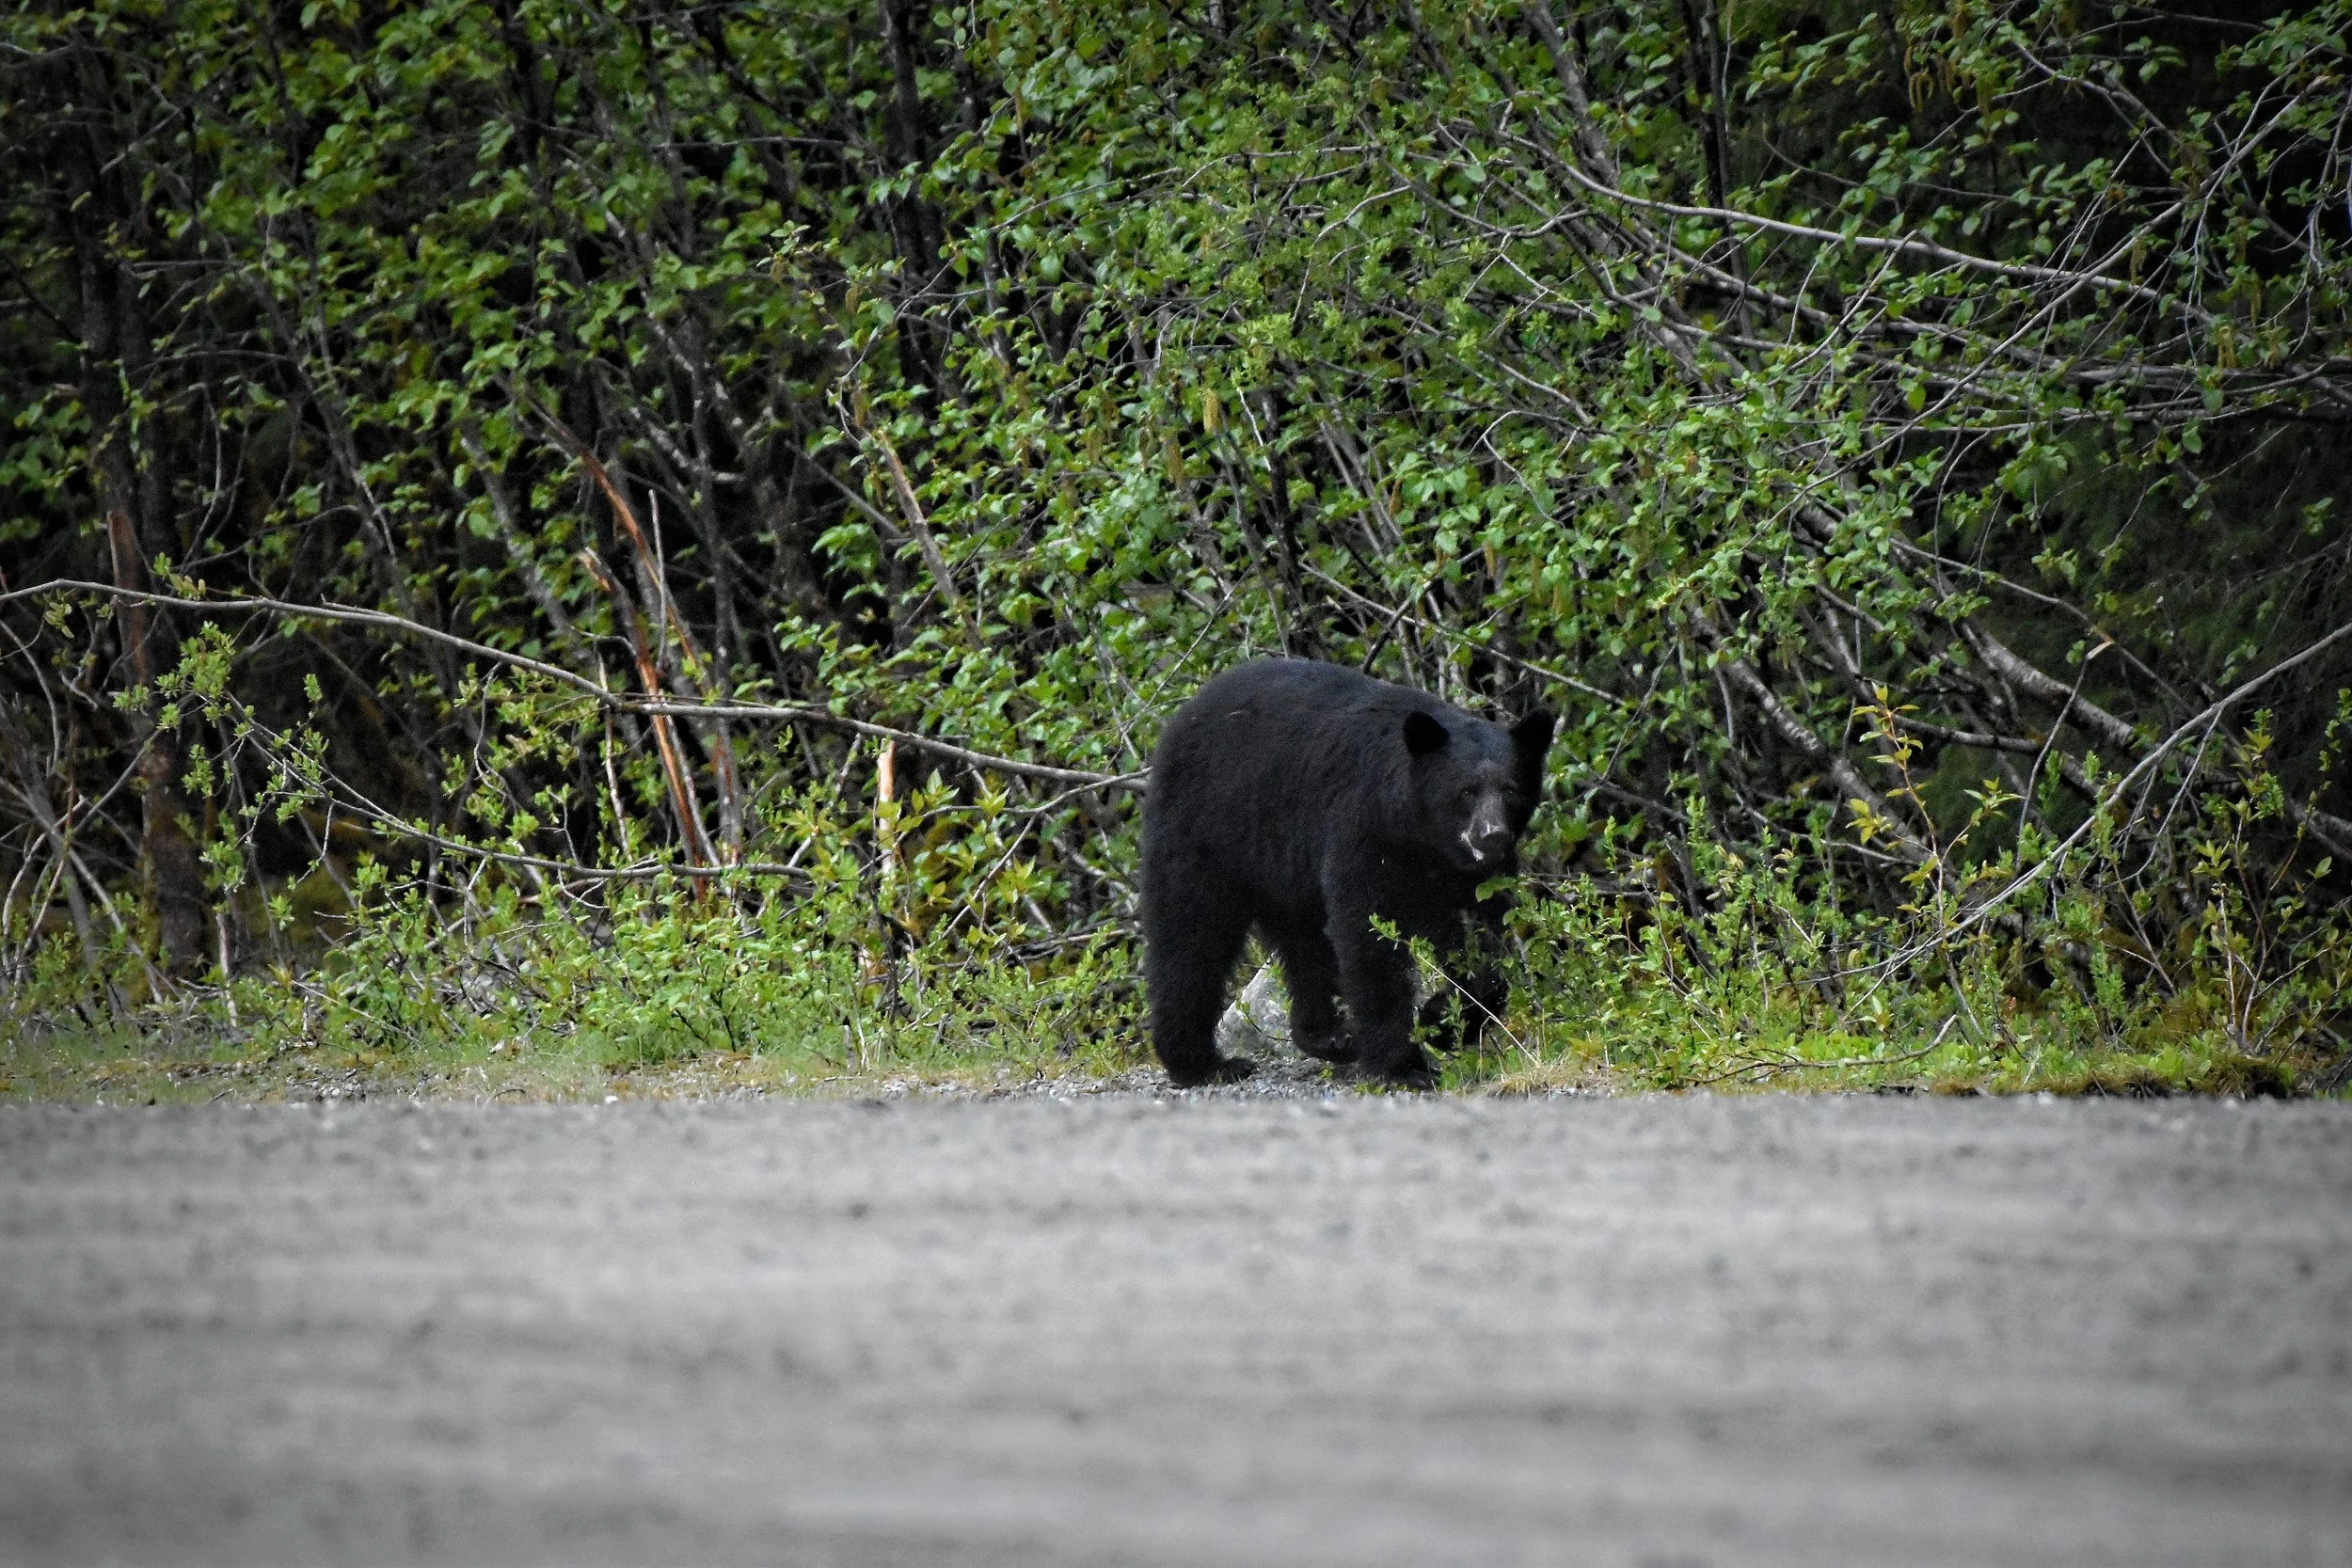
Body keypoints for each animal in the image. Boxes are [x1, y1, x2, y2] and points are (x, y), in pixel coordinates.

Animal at [1142, 658, 1554, 1088]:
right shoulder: (1363, 832)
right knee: (1192, 936)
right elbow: (1368, 938)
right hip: (1208, 828)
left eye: (1511, 790)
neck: (1421, 839)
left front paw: (1440, 1020)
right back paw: (1203, 1063)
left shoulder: (1471, 878)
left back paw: (1330, 1037)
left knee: (1306, 947)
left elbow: (1485, 942)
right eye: (1466, 790)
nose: (1492, 835)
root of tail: (1181, 717)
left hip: (1286, 873)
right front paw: (1402, 1065)